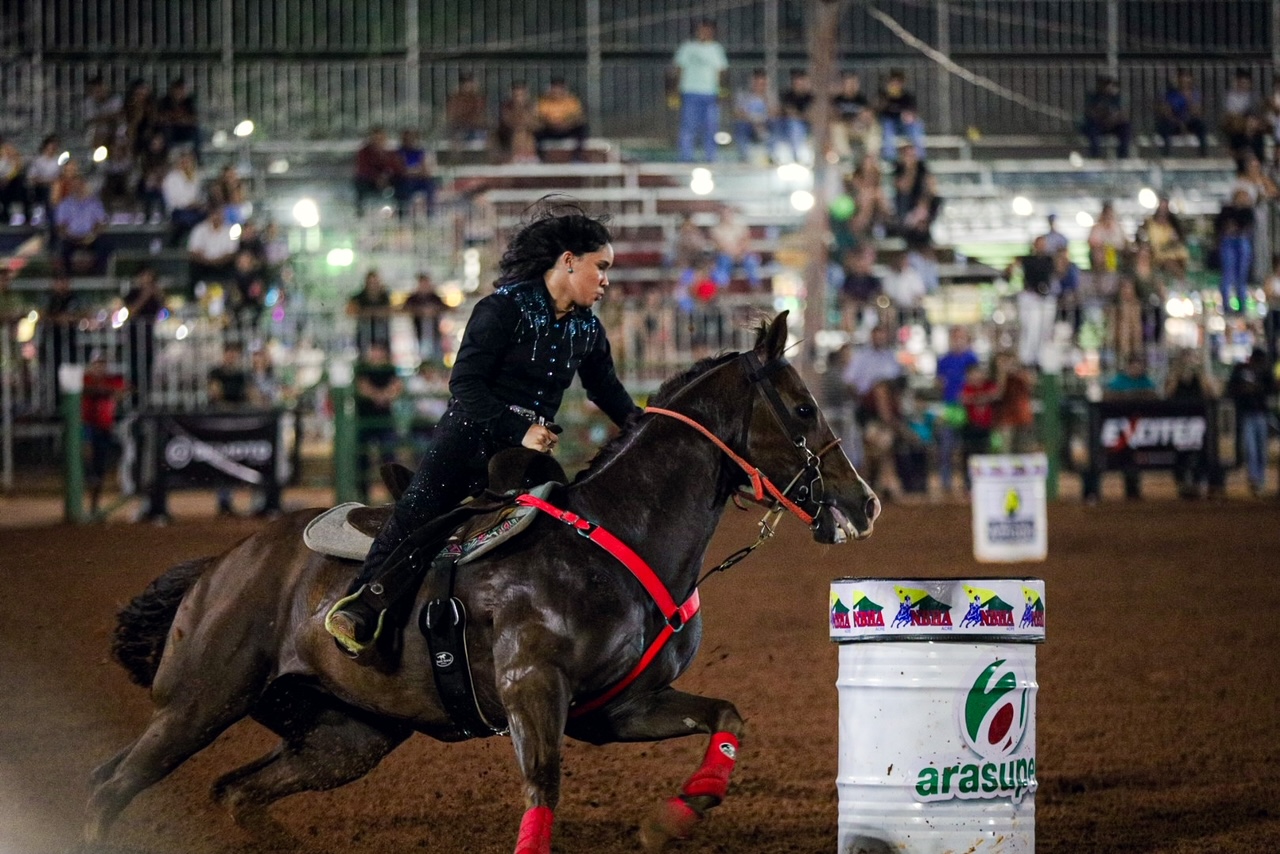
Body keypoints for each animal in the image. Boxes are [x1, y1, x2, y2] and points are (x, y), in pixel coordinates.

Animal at [82, 313, 880, 854]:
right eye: (804, 407)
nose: (865, 502)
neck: (619, 532)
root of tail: (218, 568)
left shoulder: (616, 709)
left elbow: (727, 717)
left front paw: (672, 819)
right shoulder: (534, 687)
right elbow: (544, 785)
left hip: (345, 736)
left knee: (233, 791)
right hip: (200, 701)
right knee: (112, 788)